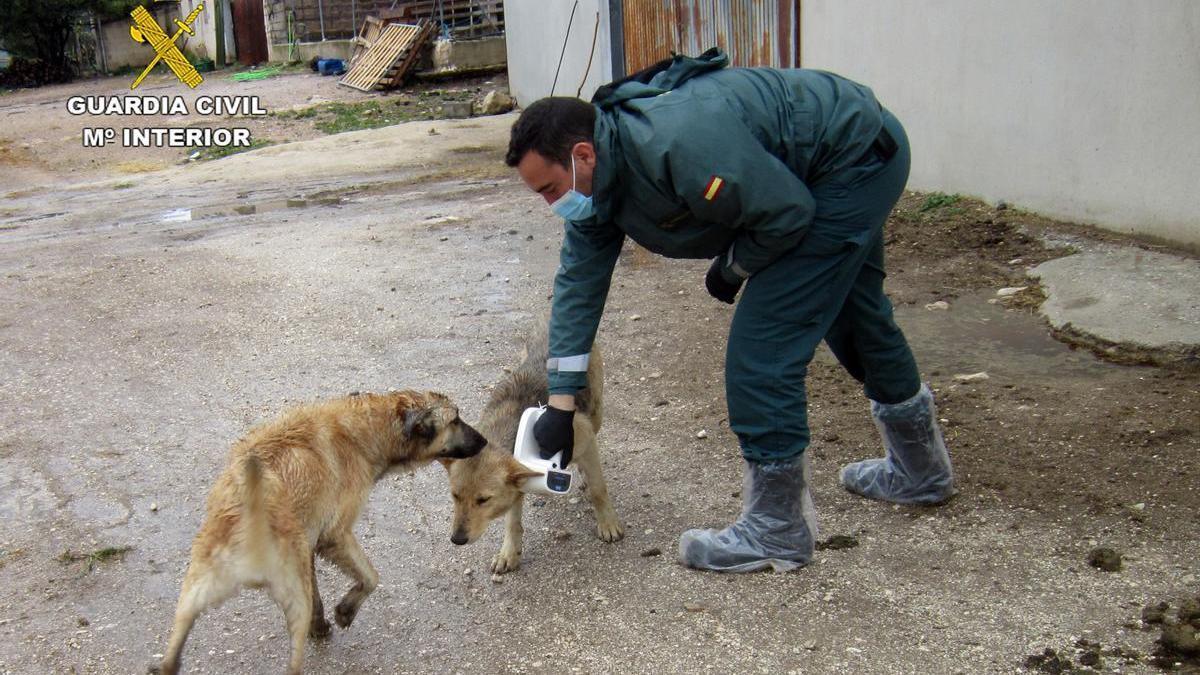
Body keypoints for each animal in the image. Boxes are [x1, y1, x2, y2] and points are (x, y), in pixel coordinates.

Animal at [152, 389, 484, 672]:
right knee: (294, 662)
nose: (484, 441)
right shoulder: (335, 535)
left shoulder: (309, 545)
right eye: (455, 419)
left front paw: (322, 623)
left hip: (195, 590)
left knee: (173, 646)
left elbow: (321, 594)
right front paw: (345, 611)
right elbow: (371, 577)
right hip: (293, 595)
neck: (366, 429)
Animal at [444, 326, 628, 571]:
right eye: (455, 496)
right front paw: (509, 552)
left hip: (596, 414)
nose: (457, 539)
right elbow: (512, 521)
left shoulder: (586, 440)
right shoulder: (517, 479)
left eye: (483, 500)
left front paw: (607, 523)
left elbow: (599, 489)